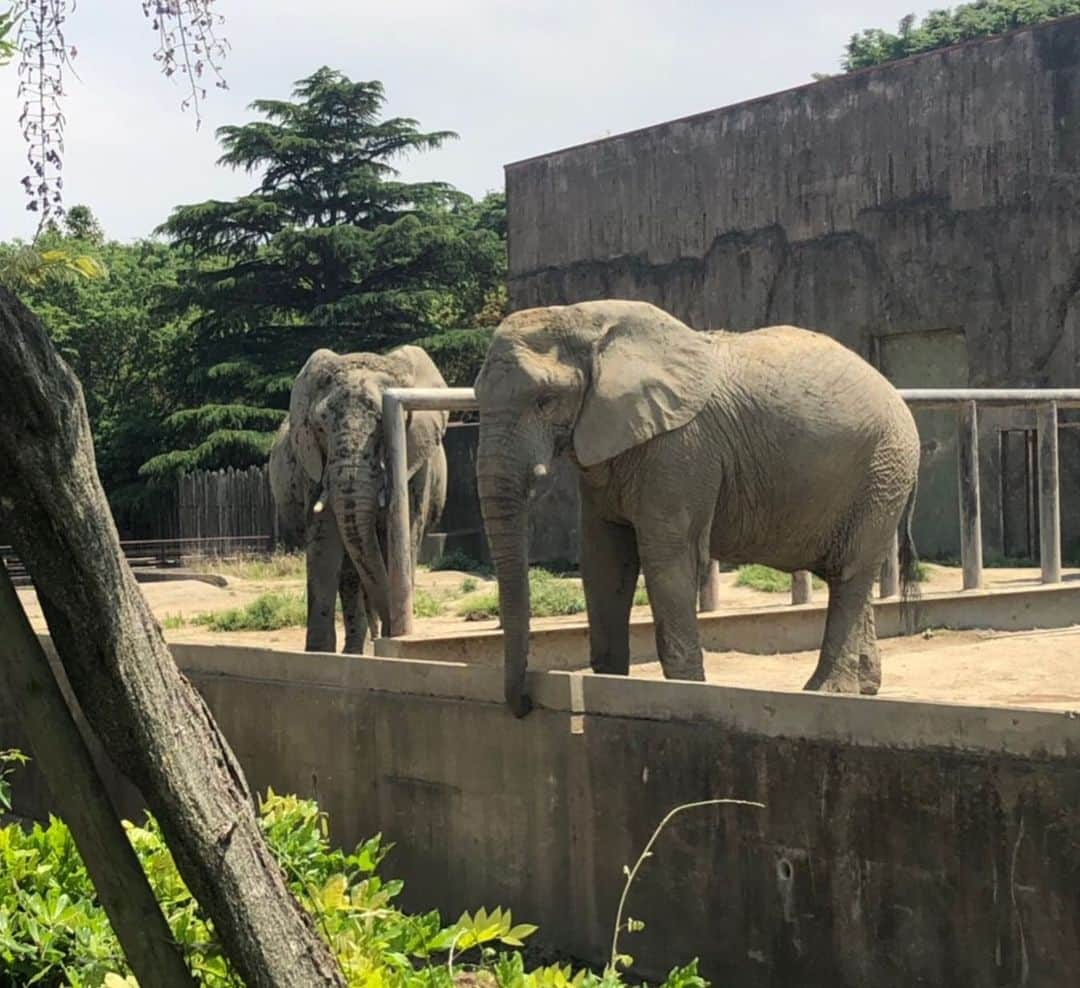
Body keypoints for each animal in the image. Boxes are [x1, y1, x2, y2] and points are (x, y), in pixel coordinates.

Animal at [280, 343, 449, 652]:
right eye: (319, 427)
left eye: (383, 422)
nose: (392, 632)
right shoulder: (313, 468)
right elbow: (325, 541)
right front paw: (320, 655)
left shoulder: (419, 464)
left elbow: (404, 535)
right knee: (349, 572)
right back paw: (358, 649)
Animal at [475, 298, 920, 712]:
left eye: (546, 400)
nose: (524, 703)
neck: (587, 318)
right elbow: (605, 560)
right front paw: (610, 687)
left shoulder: (680, 448)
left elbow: (667, 558)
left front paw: (685, 694)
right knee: (846, 575)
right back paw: (866, 688)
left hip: (883, 469)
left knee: (850, 573)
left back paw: (825, 693)